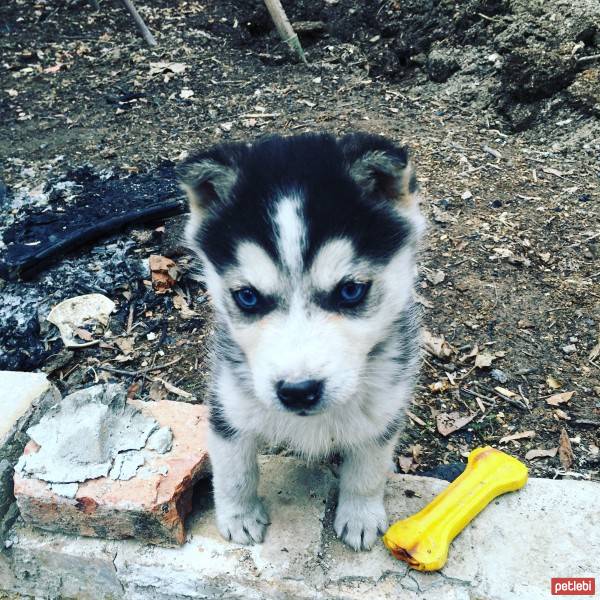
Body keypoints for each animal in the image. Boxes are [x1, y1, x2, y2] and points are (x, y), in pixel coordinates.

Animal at [180, 134, 424, 552]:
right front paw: (238, 515)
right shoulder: (229, 402)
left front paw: (360, 514)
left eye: (351, 290)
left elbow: (368, 467)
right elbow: (233, 469)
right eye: (247, 297)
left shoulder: (383, 406)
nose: (298, 391)